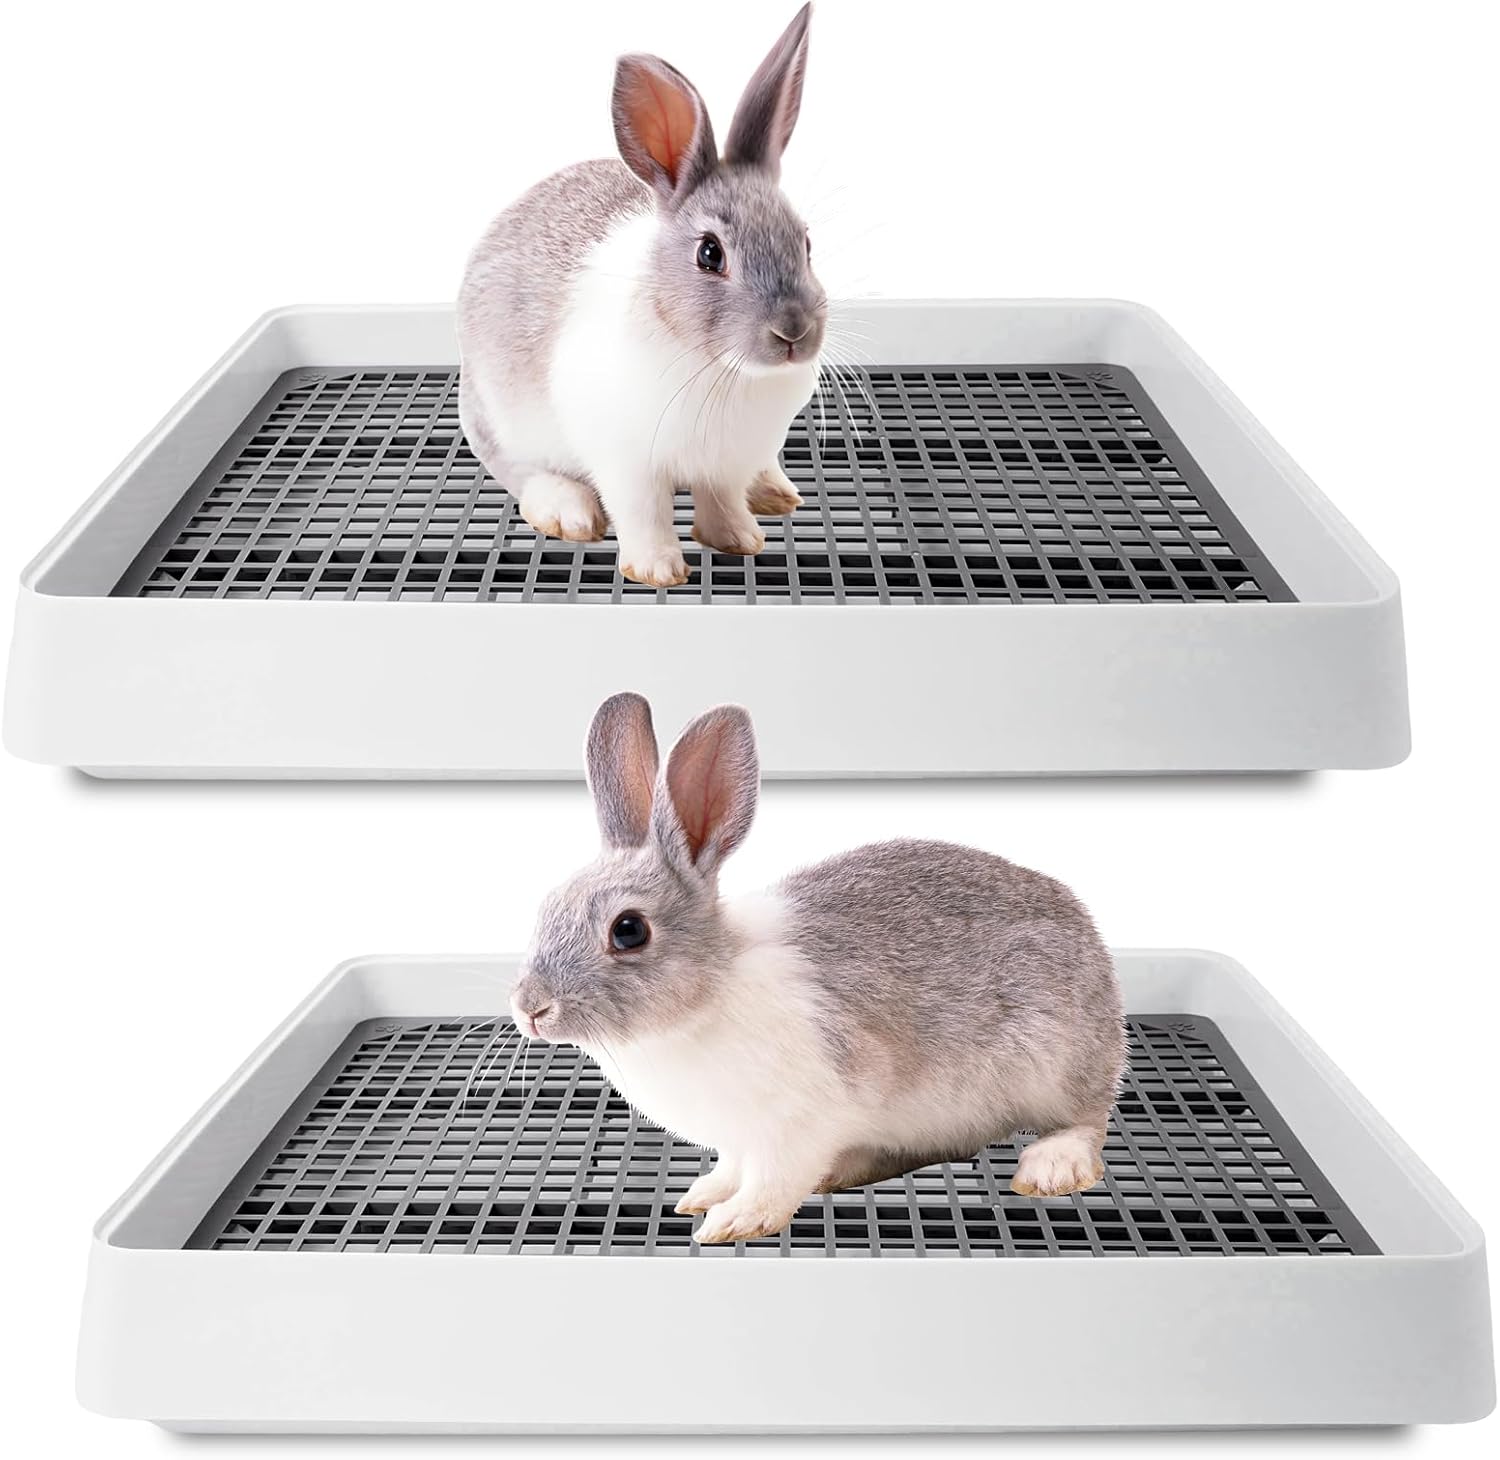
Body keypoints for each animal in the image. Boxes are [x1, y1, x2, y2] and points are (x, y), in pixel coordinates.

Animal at [455, 5, 826, 589]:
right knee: (520, 470)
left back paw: (774, 491)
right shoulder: (627, 462)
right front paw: (658, 571)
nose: (794, 332)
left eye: (806, 243)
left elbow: (721, 501)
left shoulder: (727, 463)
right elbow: (644, 513)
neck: (723, 370)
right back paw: (568, 511)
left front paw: (739, 539)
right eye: (710, 254)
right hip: (501, 420)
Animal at [512, 693, 1127, 1245]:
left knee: (1087, 1120)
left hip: (1054, 1062)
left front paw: (735, 1221)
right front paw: (703, 1194)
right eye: (547, 906)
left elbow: (774, 1181)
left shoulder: (797, 1124)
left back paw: (1050, 1167)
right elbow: (732, 1168)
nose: (529, 1008)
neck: (708, 992)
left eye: (628, 930)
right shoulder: (741, 1139)